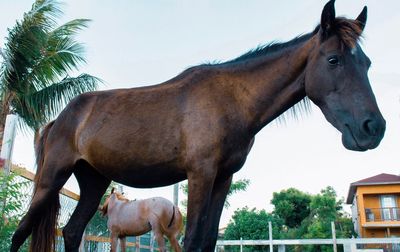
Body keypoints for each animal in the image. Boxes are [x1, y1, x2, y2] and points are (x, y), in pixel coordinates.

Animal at [10, 0, 384, 251]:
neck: (231, 100)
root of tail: (61, 118)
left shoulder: (223, 178)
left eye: (366, 63)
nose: (374, 128)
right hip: (51, 178)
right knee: (21, 231)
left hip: (92, 181)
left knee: (72, 232)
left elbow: (207, 240)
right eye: (333, 60)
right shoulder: (200, 174)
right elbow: (191, 240)